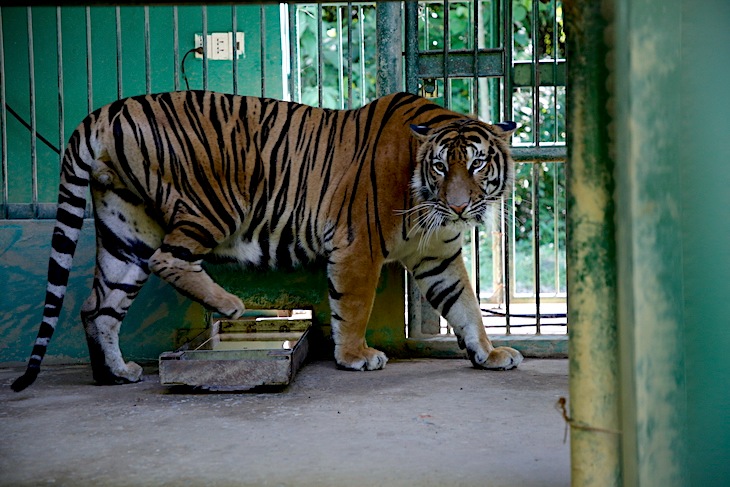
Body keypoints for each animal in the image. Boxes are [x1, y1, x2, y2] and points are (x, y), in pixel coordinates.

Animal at [12, 89, 524, 392]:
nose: (458, 207)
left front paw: (490, 353)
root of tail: (104, 111)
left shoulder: (438, 256)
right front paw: (355, 357)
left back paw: (115, 373)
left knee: (97, 307)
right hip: (210, 204)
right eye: (439, 167)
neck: (424, 199)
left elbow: (466, 307)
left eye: (477, 164)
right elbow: (353, 307)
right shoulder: (357, 246)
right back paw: (229, 305)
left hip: (125, 230)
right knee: (167, 261)